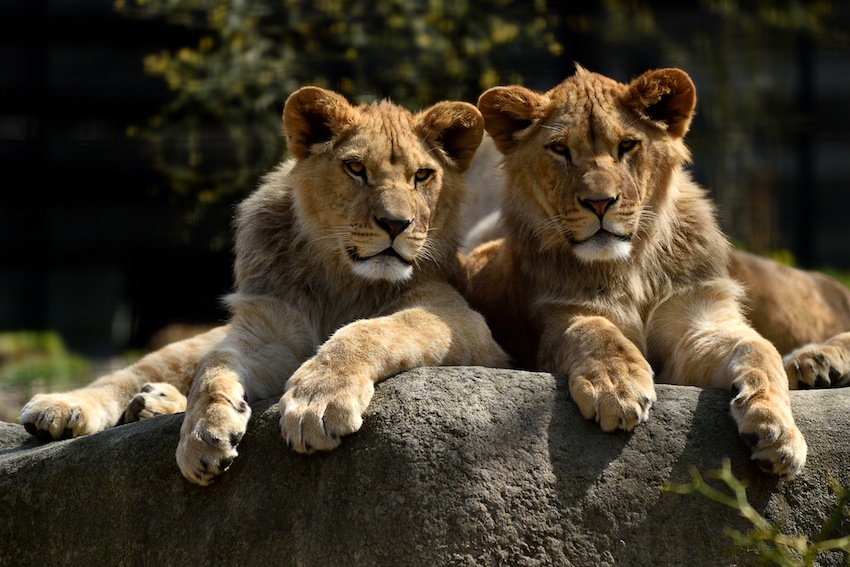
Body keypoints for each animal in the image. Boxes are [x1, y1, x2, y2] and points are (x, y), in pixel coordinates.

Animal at [19, 86, 506, 486]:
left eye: (422, 176)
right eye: (355, 168)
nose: (395, 224)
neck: (340, 275)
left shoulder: (463, 321)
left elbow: (369, 330)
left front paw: (317, 403)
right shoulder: (267, 330)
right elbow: (213, 369)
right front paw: (202, 435)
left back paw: (153, 403)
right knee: (137, 371)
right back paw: (63, 407)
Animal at [464, 65, 808, 480]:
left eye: (626, 146)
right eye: (560, 149)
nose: (599, 203)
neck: (631, 267)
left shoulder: (698, 323)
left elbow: (760, 349)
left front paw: (777, 432)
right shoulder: (558, 315)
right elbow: (593, 330)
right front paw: (617, 386)